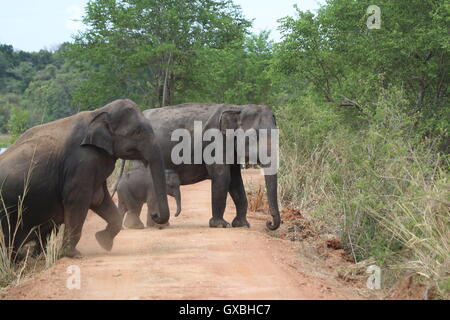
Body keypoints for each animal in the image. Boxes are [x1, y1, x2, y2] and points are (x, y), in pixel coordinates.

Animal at [0, 99, 171, 258]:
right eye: (137, 132)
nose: (155, 215)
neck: (99, 112)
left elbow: (100, 199)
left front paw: (103, 242)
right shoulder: (81, 162)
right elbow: (78, 201)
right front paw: (73, 255)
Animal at [118, 104, 280, 231]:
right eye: (254, 136)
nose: (269, 223)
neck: (237, 108)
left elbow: (235, 180)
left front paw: (242, 225)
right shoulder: (214, 142)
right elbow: (222, 176)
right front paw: (220, 225)